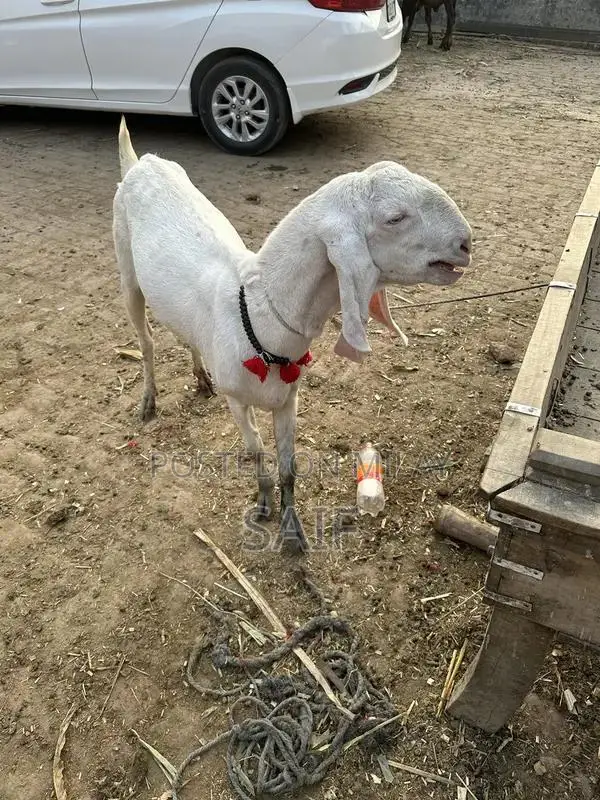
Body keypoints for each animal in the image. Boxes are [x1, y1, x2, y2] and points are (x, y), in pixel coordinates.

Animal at [113, 117, 472, 555]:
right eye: (394, 218)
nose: (466, 243)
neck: (254, 314)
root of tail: (140, 163)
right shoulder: (238, 401)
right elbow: (255, 452)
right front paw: (263, 504)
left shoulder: (288, 399)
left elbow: (289, 467)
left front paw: (292, 529)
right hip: (126, 269)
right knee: (146, 341)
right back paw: (148, 401)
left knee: (184, 337)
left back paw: (200, 378)